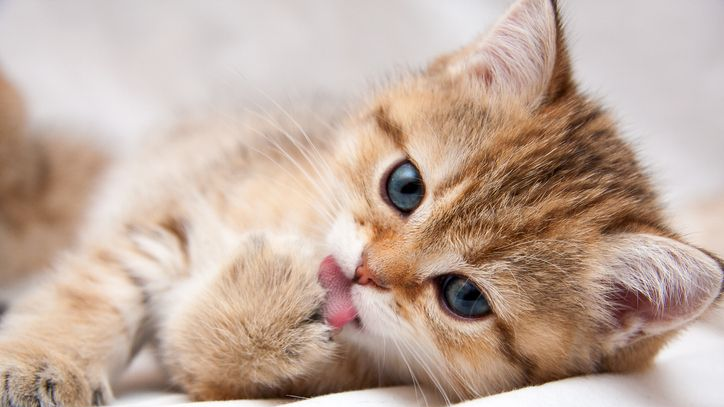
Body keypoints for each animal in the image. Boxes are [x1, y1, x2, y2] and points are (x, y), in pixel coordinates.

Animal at [1, 0, 724, 406]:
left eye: (465, 297)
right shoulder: (170, 210)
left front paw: (263, 306)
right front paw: (43, 363)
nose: (362, 270)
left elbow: (198, 356)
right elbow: (92, 295)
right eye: (405, 186)